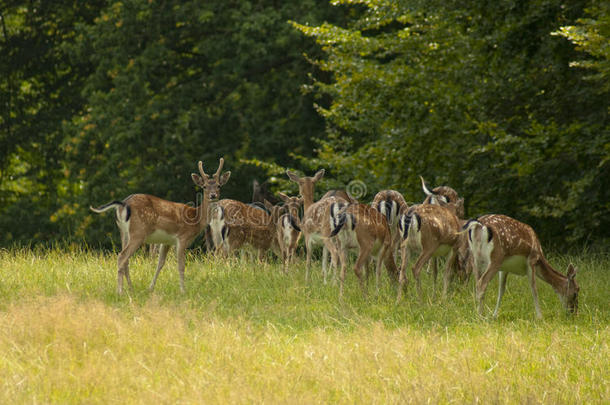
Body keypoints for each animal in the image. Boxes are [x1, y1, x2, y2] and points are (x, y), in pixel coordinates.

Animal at [90, 158, 230, 294]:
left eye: (218, 186)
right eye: (204, 186)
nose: (213, 195)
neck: (195, 219)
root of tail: (123, 204)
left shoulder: (166, 241)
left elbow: (160, 263)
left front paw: (150, 288)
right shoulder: (182, 238)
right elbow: (181, 265)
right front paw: (183, 290)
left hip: (124, 233)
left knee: (126, 260)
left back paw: (131, 288)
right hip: (138, 232)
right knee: (122, 256)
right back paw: (120, 291)